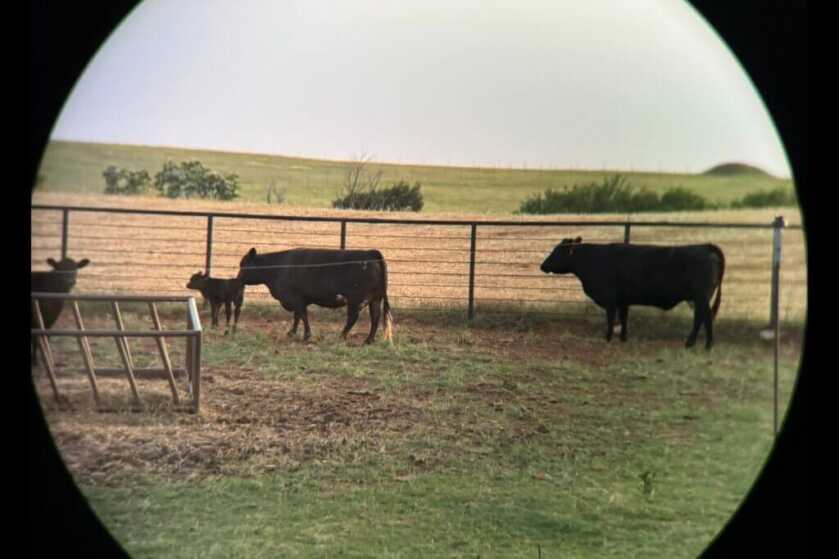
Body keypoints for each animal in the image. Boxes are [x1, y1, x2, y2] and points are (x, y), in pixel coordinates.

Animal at [237, 247, 393, 344]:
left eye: (243, 265)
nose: (237, 279)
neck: (277, 267)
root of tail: (370, 253)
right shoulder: (299, 300)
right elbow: (297, 316)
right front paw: (292, 333)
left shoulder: (296, 298)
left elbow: (302, 315)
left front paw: (306, 335)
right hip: (375, 299)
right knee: (375, 317)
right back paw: (368, 340)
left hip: (356, 300)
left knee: (353, 318)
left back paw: (342, 336)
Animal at [540, 237, 725, 349]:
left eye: (557, 251)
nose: (542, 265)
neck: (592, 259)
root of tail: (706, 247)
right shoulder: (623, 300)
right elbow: (623, 318)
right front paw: (623, 338)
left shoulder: (610, 299)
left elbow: (611, 319)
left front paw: (607, 337)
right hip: (699, 298)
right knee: (704, 317)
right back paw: (702, 344)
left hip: (700, 297)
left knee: (703, 317)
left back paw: (697, 344)